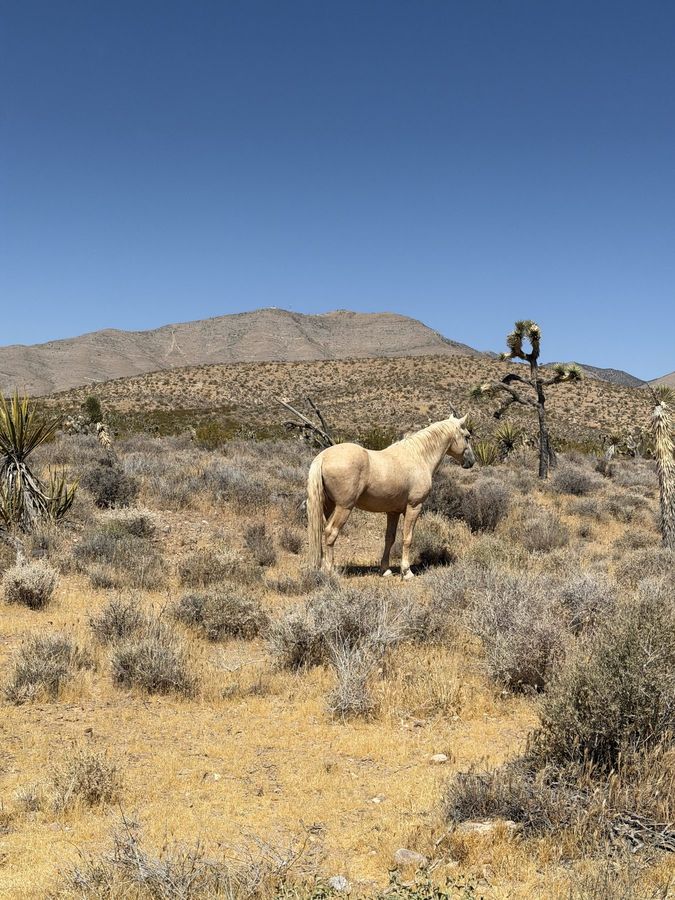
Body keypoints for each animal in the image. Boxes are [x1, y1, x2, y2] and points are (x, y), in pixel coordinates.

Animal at [307, 414, 475, 578]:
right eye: (467, 436)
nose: (471, 462)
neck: (419, 456)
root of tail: (322, 457)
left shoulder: (393, 512)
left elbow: (390, 538)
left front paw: (385, 570)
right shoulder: (414, 507)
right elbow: (407, 538)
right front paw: (406, 571)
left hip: (328, 506)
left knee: (321, 531)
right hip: (344, 508)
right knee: (330, 532)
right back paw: (330, 571)